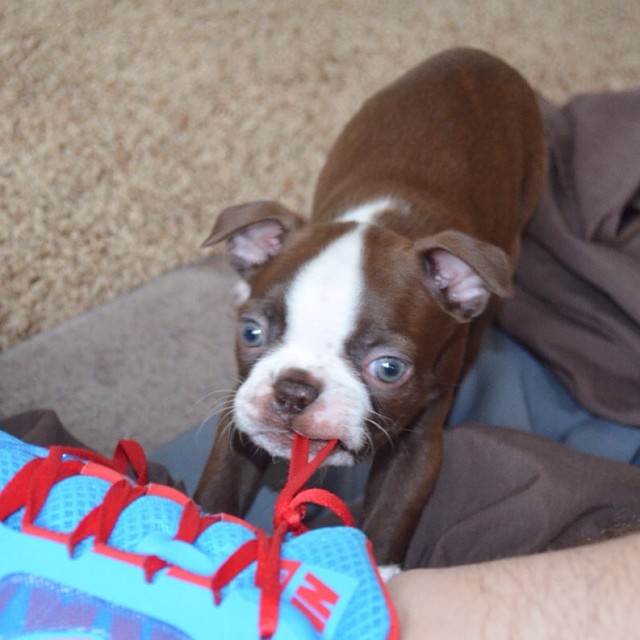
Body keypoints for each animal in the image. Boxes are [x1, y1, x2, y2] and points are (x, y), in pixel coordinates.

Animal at [195, 47, 544, 564]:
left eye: (389, 369)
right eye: (251, 333)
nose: (293, 391)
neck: (382, 221)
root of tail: (478, 56)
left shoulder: (419, 445)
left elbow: (391, 516)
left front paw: (375, 575)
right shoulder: (239, 412)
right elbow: (219, 487)